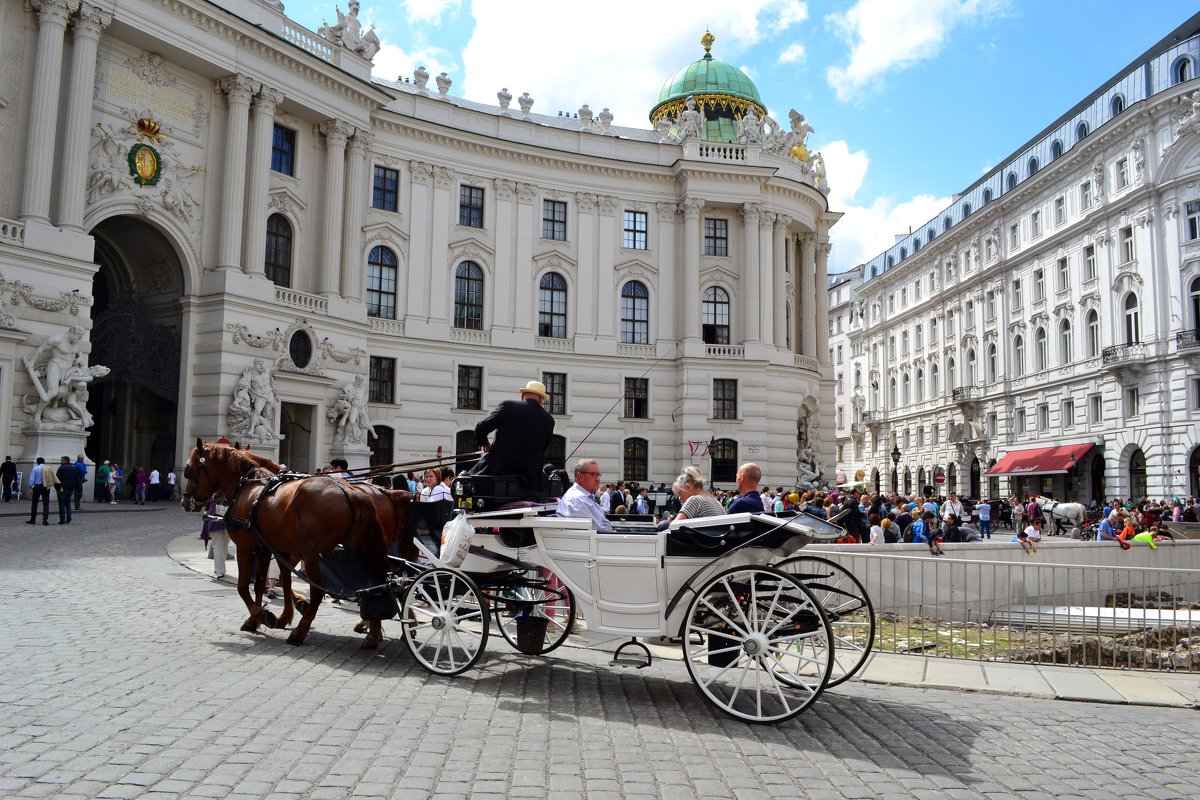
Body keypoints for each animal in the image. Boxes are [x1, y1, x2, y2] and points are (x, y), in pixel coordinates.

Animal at [181, 441, 393, 647]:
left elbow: (243, 586)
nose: (185, 501)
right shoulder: (270, 549)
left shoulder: (246, 548)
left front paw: (263, 615)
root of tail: (349, 491)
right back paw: (372, 632)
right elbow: (268, 582)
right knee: (375, 585)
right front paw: (263, 618)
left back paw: (300, 632)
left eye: (189, 470)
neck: (249, 489)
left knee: (318, 590)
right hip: (360, 548)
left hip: (311, 553)